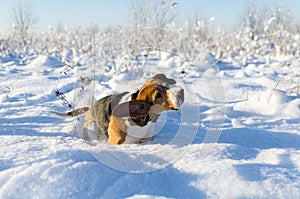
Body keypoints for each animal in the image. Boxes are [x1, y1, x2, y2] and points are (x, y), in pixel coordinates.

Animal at [53, 74, 185, 144]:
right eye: (158, 96)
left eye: (165, 86)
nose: (181, 91)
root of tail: (91, 107)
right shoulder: (114, 142)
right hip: (92, 127)